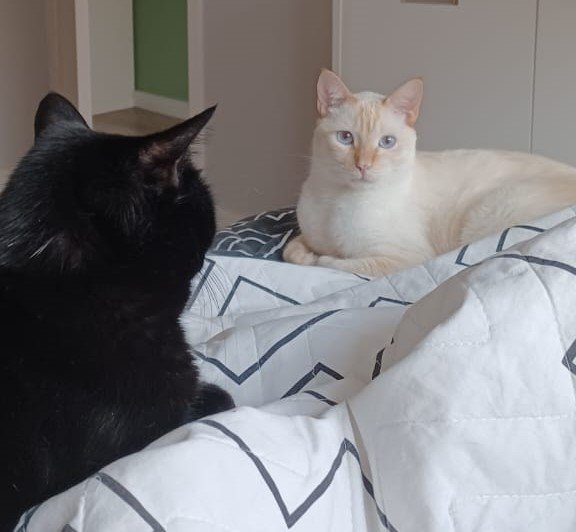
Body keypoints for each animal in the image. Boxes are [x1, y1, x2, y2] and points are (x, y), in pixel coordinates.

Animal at [283, 69, 576, 276]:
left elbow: (335, 263)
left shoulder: (405, 257)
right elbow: (291, 250)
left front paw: (317, 259)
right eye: (345, 138)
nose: (363, 166)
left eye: (387, 142)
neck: (335, 200)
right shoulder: (307, 236)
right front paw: (304, 255)